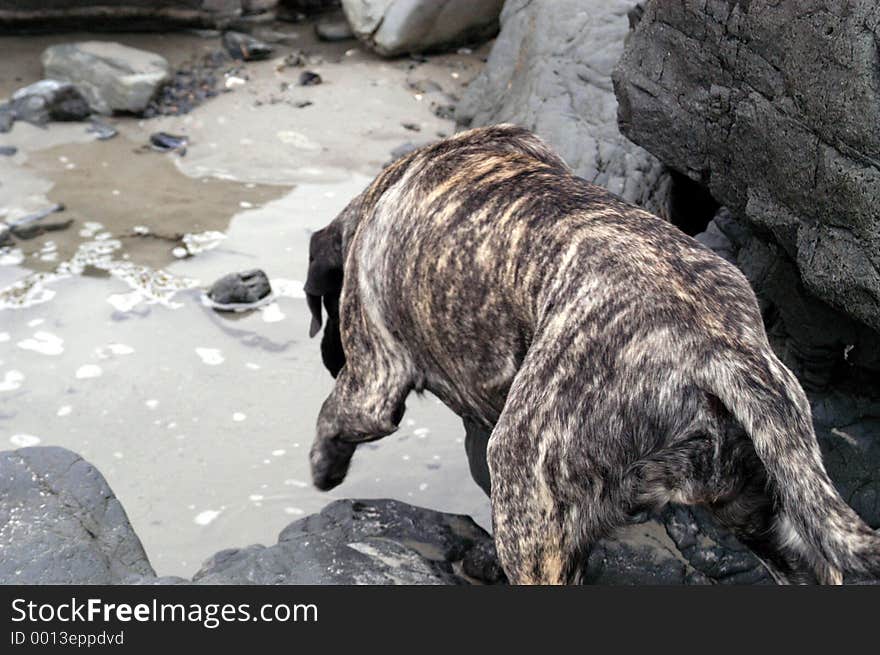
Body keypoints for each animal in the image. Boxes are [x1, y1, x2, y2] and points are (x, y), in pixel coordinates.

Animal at [304, 125, 880, 588]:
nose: (330, 358)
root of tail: (720, 349)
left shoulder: (373, 381)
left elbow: (331, 416)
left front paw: (323, 465)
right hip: (766, 513)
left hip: (527, 498)